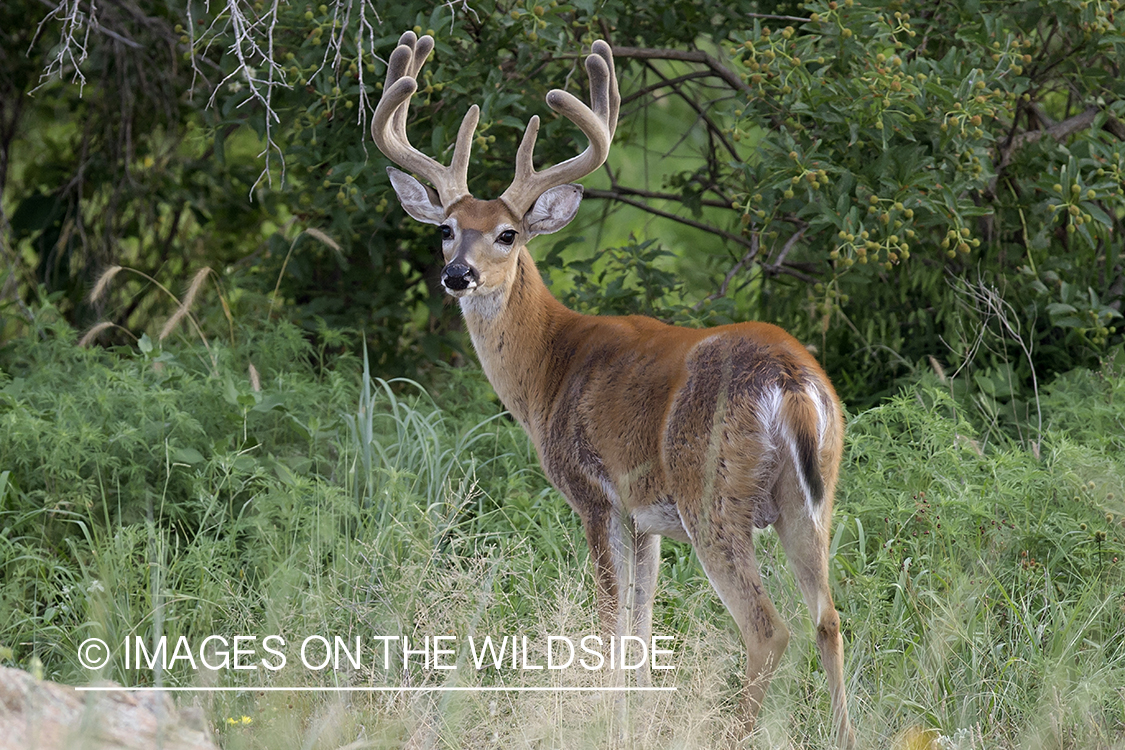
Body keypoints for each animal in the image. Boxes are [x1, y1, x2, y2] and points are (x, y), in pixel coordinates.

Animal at [373, 32, 855, 746]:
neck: (550, 366)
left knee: (770, 629)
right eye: (445, 229)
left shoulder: (594, 492)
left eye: (508, 233)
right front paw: (637, 717)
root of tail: (794, 384)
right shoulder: (644, 515)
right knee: (829, 620)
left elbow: (608, 627)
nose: (458, 275)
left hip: (713, 494)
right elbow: (642, 629)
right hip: (811, 499)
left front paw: (603, 718)